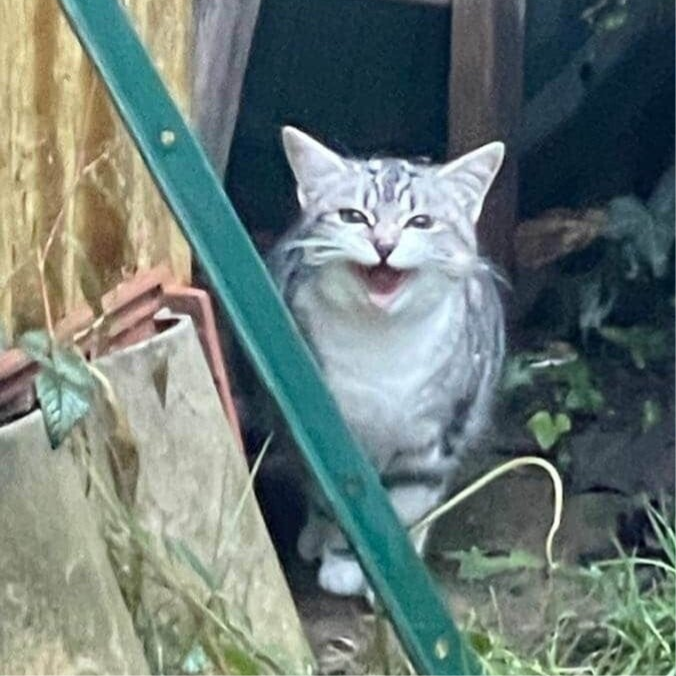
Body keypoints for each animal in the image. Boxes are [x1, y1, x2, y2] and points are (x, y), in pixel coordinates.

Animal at [267, 127, 505, 597]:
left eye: (421, 222)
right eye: (353, 216)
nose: (384, 244)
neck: (383, 346)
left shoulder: (429, 440)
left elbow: (404, 505)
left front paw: (392, 575)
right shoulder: (322, 429)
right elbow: (337, 499)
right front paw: (341, 560)